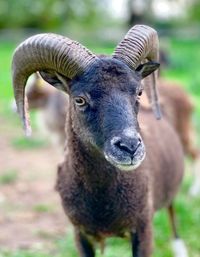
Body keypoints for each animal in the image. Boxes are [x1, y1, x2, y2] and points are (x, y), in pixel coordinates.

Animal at [12, 24, 188, 256]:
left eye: (139, 92)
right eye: (79, 99)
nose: (129, 147)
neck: (102, 202)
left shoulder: (143, 229)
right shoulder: (81, 235)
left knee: (172, 212)